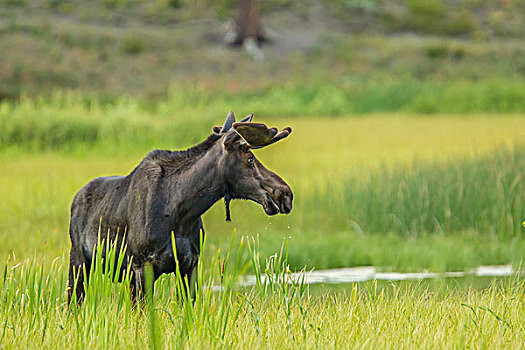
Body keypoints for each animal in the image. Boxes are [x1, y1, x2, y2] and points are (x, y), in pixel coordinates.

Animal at [66, 111, 290, 304]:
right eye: (250, 159)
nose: (285, 193)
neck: (182, 211)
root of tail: (75, 199)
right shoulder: (142, 264)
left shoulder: (189, 265)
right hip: (78, 261)